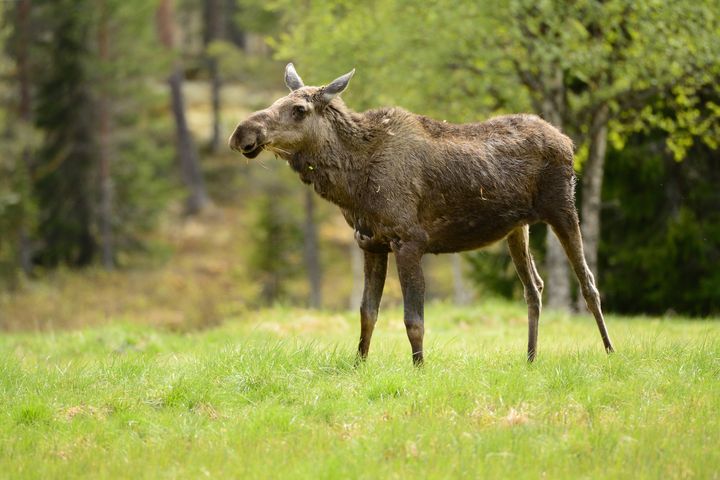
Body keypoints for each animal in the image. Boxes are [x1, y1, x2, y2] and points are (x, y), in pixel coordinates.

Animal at [229, 64, 614, 365]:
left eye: (298, 109)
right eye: (276, 102)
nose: (241, 132)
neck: (352, 185)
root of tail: (567, 141)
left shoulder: (409, 240)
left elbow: (413, 319)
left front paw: (419, 367)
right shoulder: (370, 242)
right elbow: (367, 312)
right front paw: (359, 364)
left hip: (563, 208)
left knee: (588, 282)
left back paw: (610, 352)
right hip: (516, 228)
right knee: (533, 287)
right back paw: (531, 357)